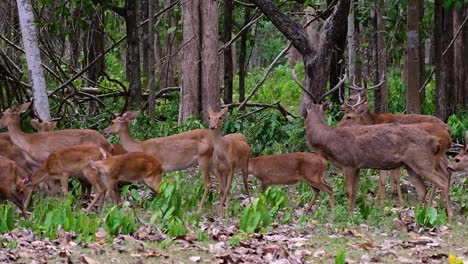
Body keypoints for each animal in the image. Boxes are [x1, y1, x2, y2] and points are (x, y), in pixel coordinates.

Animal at [306, 102, 452, 220]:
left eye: (349, 117)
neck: (328, 140)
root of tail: (435, 141)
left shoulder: (347, 164)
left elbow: (349, 191)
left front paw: (347, 215)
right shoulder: (357, 166)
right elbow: (356, 191)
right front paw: (354, 213)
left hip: (422, 161)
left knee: (442, 181)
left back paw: (448, 214)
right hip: (412, 166)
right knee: (424, 188)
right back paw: (420, 215)